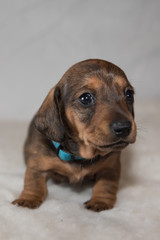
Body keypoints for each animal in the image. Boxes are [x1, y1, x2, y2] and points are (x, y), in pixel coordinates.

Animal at [12, 59, 136, 211]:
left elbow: (106, 185)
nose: (124, 127)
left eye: (129, 94)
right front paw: (28, 199)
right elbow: (33, 182)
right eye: (86, 98)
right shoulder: (37, 164)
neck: (80, 155)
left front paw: (100, 201)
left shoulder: (110, 167)